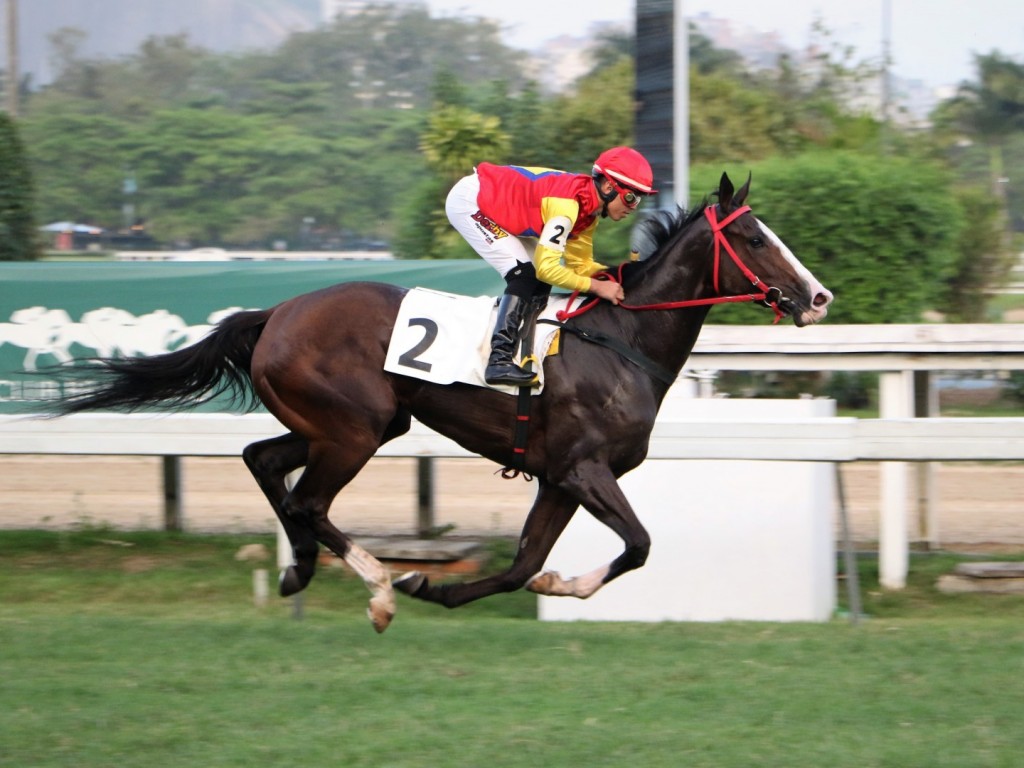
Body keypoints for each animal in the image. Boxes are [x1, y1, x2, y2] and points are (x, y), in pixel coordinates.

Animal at [46, 176, 831, 638]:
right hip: (354, 430)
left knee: (263, 461)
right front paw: (527, 583)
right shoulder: (585, 470)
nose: (819, 297)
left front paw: (467, 587)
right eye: (755, 237)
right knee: (307, 499)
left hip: (353, 423)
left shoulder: (557, 477)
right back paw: (376, 587)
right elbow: (637, 544)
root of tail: (277, 312)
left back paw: (301, 569)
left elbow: (523, 564)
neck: (621, 340)